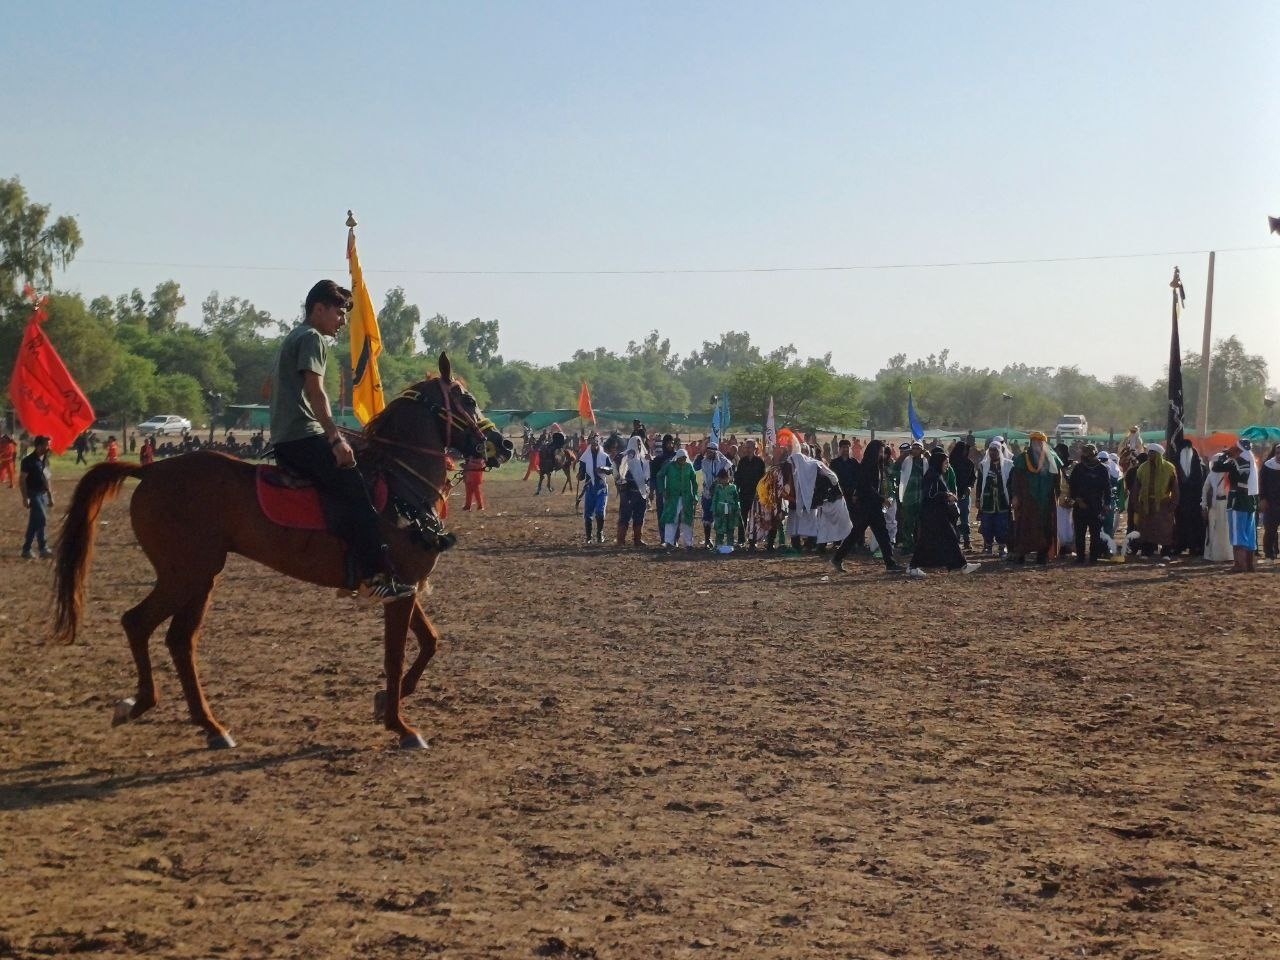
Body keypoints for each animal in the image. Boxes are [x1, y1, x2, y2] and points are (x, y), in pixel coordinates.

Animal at [53, 353, 509, 752]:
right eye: (468, 400)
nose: (502, 444)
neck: (399, 484)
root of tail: (148, 470)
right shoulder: (401, 588)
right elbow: (395, 657)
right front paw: (401, 726)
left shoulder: (402, 586)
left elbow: (430, 641)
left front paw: (386, 703)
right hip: (184, 574)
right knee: (138, 623)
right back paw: (141, 705)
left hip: (200, 576)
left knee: (180, 641)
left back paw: (210, 726)